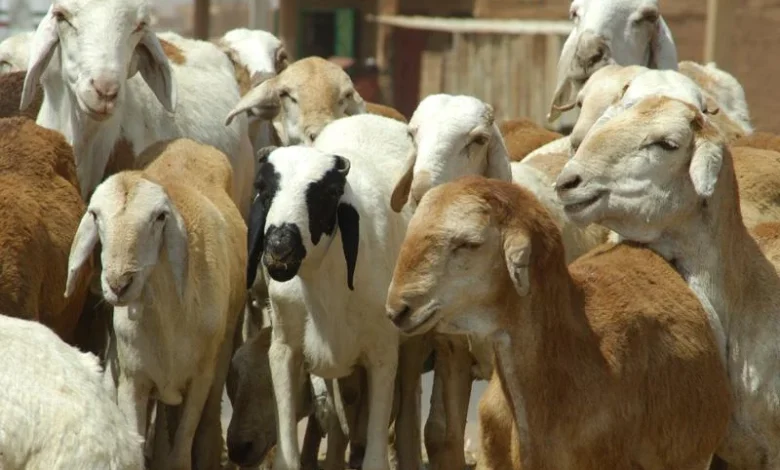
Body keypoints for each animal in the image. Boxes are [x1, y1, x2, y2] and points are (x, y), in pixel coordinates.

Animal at [64, 138, 247, 470]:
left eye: (160, 217)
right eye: (95, 215)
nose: (118, 284)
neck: (169, 316)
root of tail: (188, 142)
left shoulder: (200, 380)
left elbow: (181, 453)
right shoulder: (134, 380)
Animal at [246, 114, 424, 470]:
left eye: (328, 193)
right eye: (263, 188)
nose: (279, 249)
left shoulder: (383, 354)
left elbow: (375, 458)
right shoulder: (284, 348)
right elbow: (289, 456)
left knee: (406, 413)